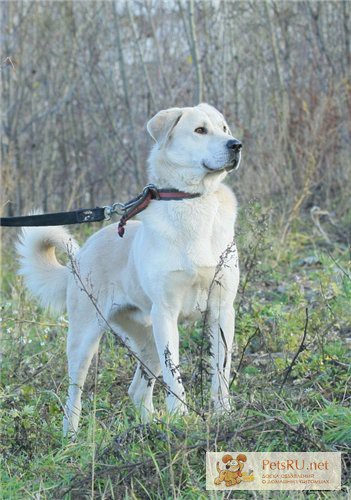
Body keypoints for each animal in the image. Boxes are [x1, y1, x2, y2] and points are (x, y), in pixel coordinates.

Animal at [16, 103, 242, 436]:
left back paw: (151, 428)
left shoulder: (222, 309)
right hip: (85, 338)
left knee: (137, 390)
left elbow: (220, 372)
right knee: (74, 393)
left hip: (147, 339)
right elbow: (174, 375)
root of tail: (83, 251)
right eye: (200, 130)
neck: (191, 204)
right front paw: (182, 417)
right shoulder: (166, 313)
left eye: (224, 128)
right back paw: (71, 436)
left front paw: (224, 414)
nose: (236, 145)